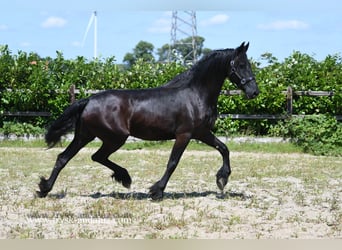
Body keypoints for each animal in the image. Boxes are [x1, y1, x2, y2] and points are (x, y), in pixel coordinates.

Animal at [37, 42, 260, 200]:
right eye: (241, 65)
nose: (254, 92)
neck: (196, 94)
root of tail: (89, 100)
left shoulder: (202, 133)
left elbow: (224, 148)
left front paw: (222, 179)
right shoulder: (185, 135)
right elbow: (173, 163)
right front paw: (157, 191)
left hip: (86, 135)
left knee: (64, 158)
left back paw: (44, 188)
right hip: (115, 138)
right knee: (95, 156)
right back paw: (124, 178)